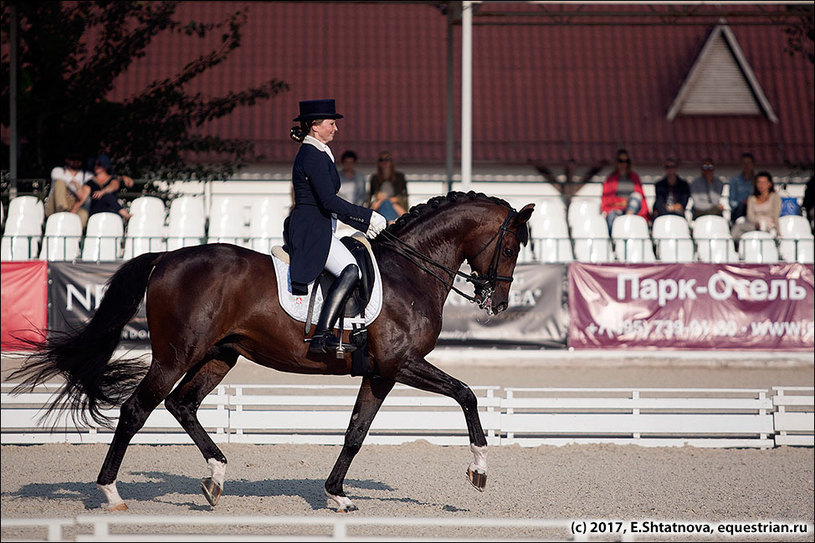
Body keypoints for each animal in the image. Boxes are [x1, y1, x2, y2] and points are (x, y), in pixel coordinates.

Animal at [14, 191, 536, 516]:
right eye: (511, 246)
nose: (497, 303)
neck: (409, 272)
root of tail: (164, 258)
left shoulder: (381, 373)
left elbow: (355, 433)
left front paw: (337, 496)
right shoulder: (402, 364)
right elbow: (467, 394)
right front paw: (478, 471)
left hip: (220, 355)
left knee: (182, 404)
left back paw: (215, 478)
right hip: (175, 355)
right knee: (136, 409)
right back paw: (111, 493)